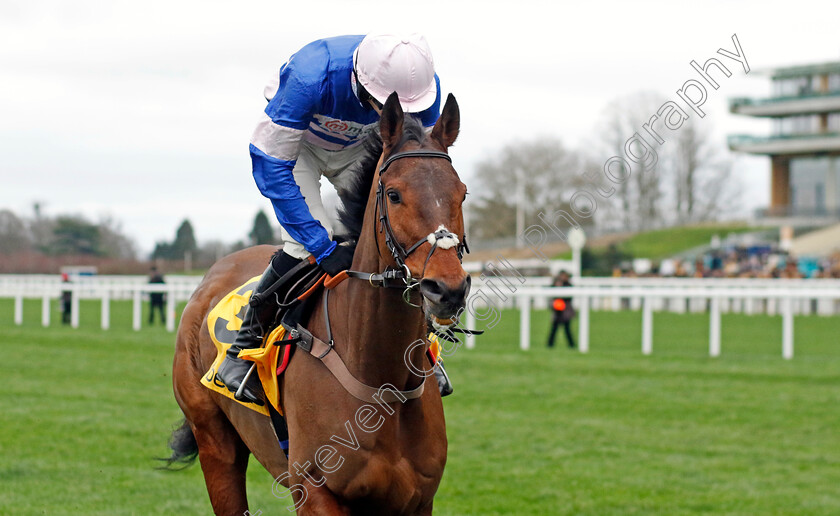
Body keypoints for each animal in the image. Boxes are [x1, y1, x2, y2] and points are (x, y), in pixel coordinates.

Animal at [169, 92, 472, 516]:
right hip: (215, 440)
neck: (381, 379)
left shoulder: (417, 499)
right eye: (394, 194)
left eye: (462, 192)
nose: (447, 289)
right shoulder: (315, 491)